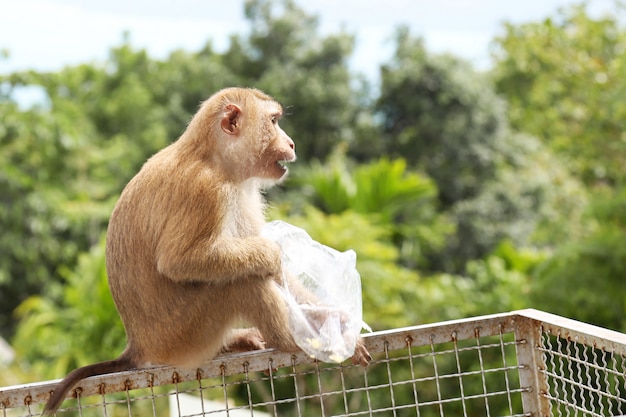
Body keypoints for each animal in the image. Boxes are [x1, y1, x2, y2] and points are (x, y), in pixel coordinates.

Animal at [42, 87, 370, 412]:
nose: (290, 142)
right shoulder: (207, 191)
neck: (217, 160)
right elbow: (180, 261)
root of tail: (139, 346)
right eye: (274, 121)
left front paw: (334, 317)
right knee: (241, 282)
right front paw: (271, 254)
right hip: (184, 335)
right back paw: (291, 342)